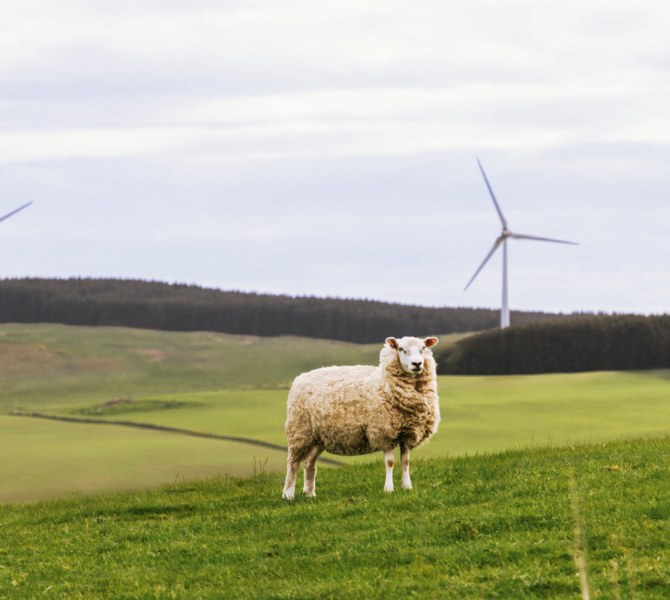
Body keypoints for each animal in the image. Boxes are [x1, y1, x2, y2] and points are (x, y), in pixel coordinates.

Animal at [282, 336, 440, 499]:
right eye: (401, 349)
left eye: (423, 348)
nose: (417, 364)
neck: (384, 382)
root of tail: (300, 377)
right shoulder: (382, 432)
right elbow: (390, 462)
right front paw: (389, 489)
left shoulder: (407, 433)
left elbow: (406, 461)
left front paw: (407, 487)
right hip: (299, 430)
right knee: (293, 463)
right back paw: (288, 495)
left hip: (318, 437)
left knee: (309, 463)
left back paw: (310, 493)